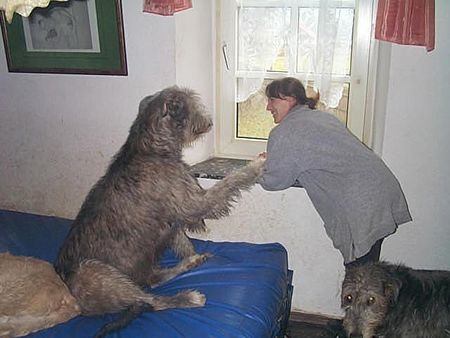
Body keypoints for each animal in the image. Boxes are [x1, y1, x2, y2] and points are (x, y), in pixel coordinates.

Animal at [54, 86, 266, 336]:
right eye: (192, 104)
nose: (209, 121)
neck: (150, 147)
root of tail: (77, 306)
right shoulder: (193, 202)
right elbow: (229, 182)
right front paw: (256, 165)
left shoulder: (173, 217)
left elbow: (183, 240)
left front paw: (192, 254)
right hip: (95, 273)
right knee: (151, 301)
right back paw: (187, 298)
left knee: (153, 282)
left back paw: (189, 263)